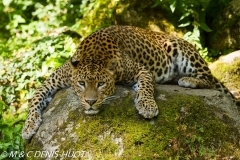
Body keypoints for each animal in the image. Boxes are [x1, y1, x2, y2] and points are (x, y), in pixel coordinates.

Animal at [21, 24, 239, 139]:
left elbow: (146, 87)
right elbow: (35, 99)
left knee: (209, 79)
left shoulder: (141, 70)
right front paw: (28, 127)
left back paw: (187, 80)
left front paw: (147, 107)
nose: (90, 102)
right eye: (81, 83)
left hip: (180, 49)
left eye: (101, 84)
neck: (94, 56)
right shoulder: (52, 81)